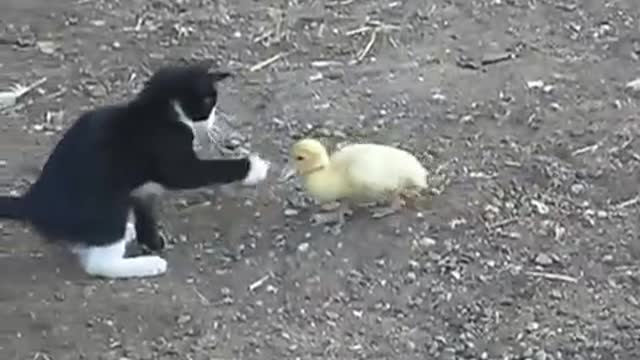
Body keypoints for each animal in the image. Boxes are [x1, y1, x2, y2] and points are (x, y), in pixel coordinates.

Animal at [0, 62, 270, 278]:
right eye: (209, 103)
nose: (213, 120)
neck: (157, 112)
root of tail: (33, 201)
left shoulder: (142, 186)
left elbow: (145, 209)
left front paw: (151, 239)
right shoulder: (174, 159)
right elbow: (205, 171)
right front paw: (255, 168)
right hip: (108, 205)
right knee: (98, 264)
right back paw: (147, 265)